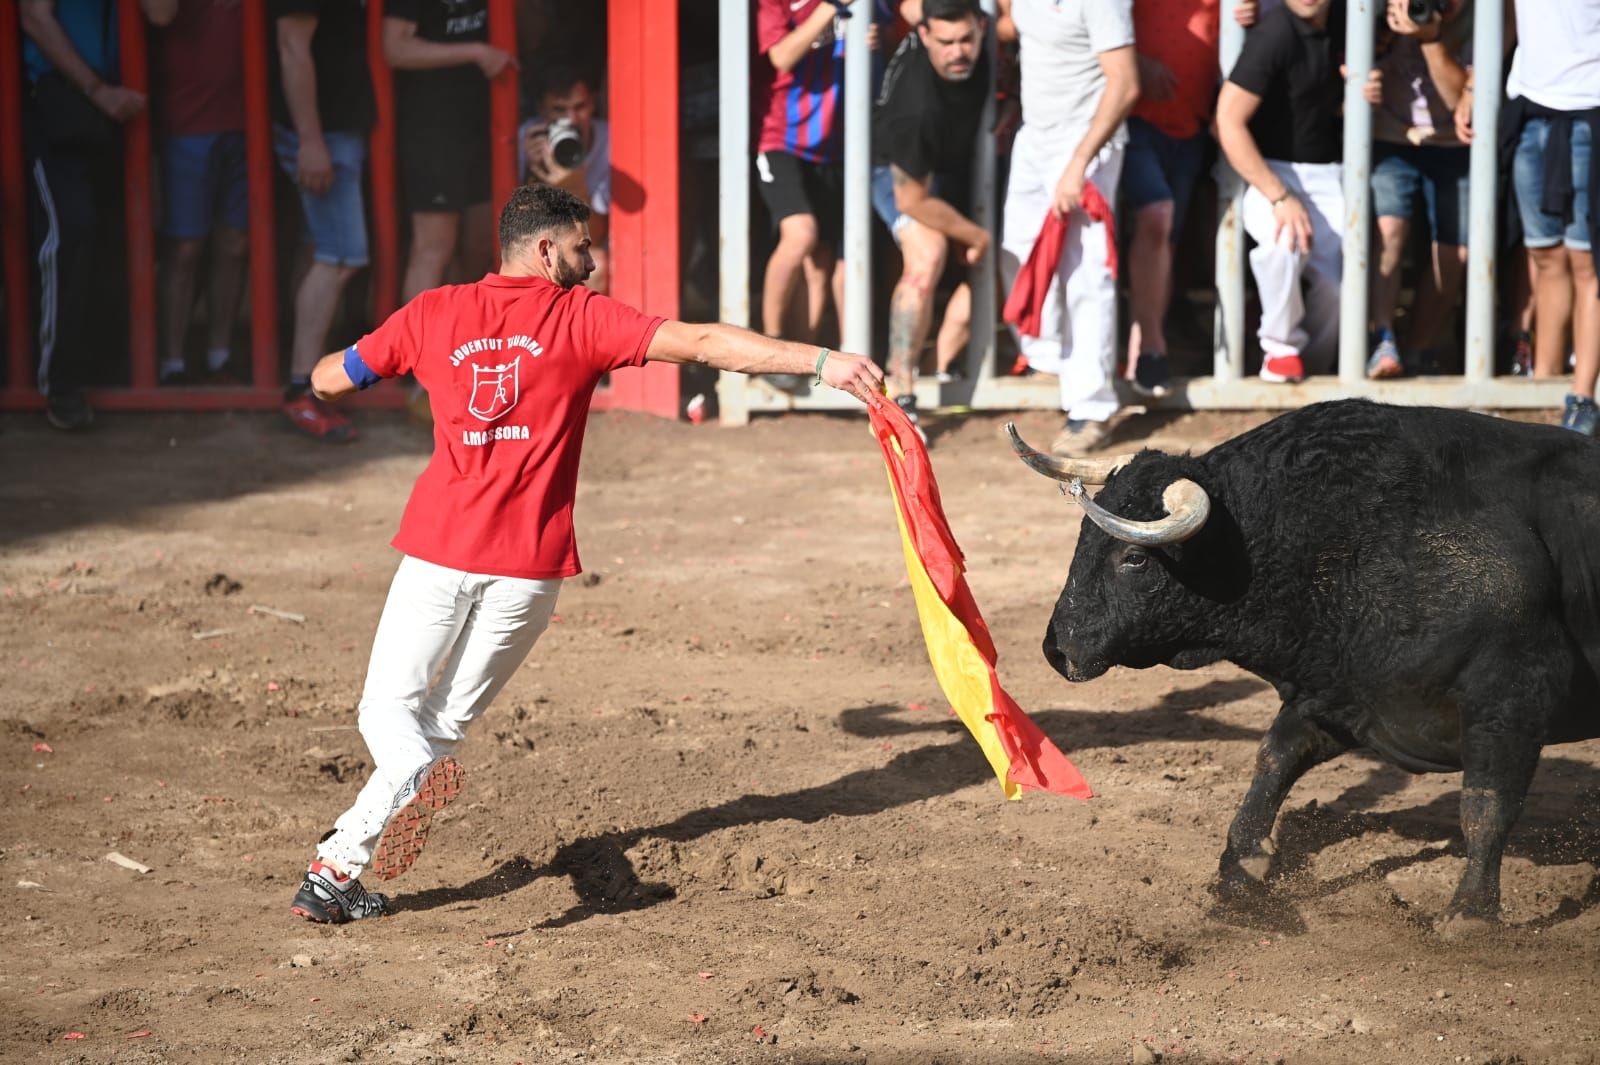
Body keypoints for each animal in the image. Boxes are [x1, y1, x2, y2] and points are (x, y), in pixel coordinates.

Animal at [1011, 393, 1600, 927]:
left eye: (1133, 558)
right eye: (1082, 539)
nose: (1057, 648)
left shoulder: (1509, 698)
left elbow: (1485, 804)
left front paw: (1469, 915)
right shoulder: (1340, 693)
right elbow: (1274, 759)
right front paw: (1241, 868)